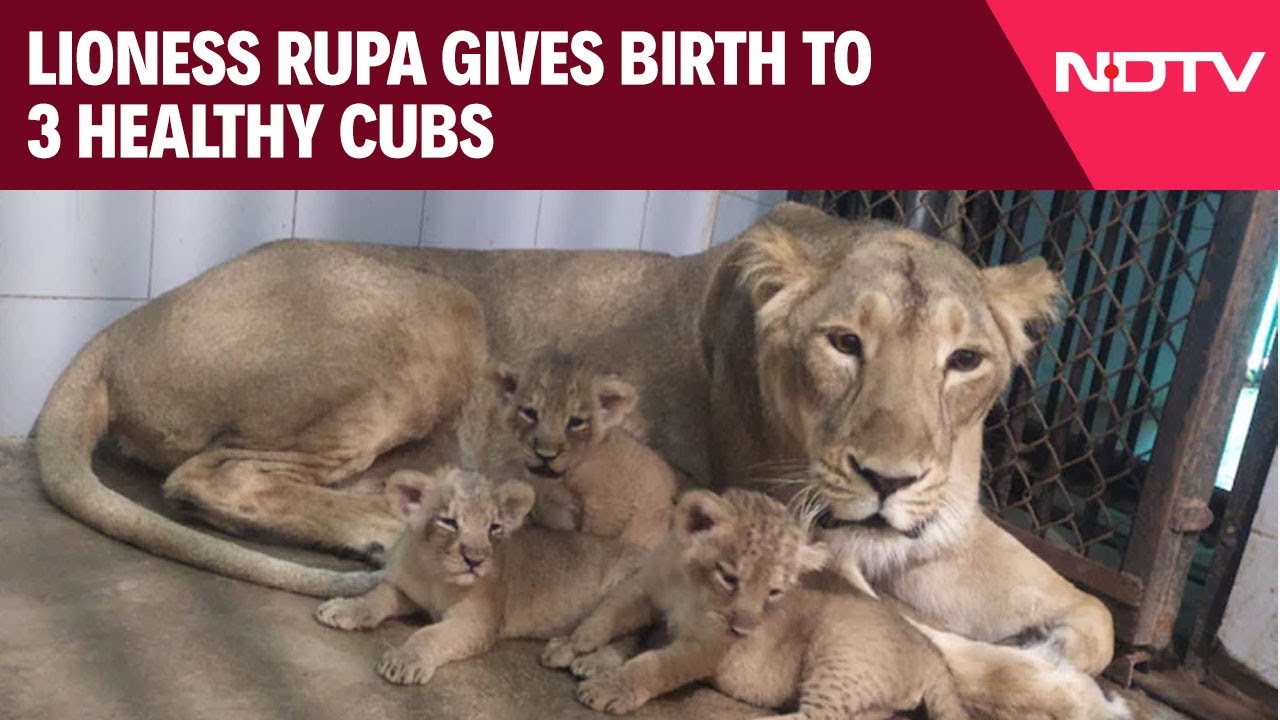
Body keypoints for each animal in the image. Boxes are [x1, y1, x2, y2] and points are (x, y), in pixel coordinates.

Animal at [315, 466, 647, 685]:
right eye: (449, 522)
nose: (474, 560)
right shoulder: (405, 589)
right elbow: (377, 595)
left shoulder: (476, 622)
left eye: (494, 528)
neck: (435, 574)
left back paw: (578, 656)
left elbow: (430, 634)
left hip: (624, 589)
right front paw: (345, 608)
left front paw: (405, 660)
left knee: (629, 636)